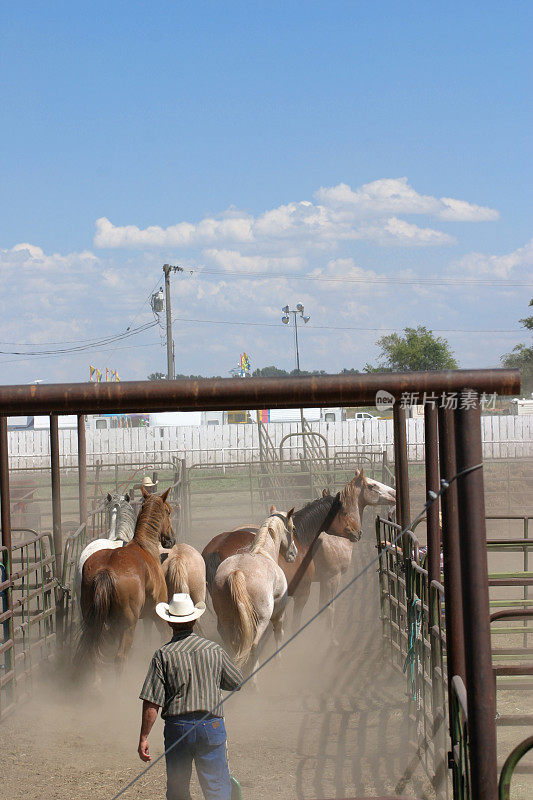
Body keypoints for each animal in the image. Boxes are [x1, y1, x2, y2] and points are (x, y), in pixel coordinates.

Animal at [75, 488, 176, 676]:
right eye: (168, 511)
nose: (171, 540)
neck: (144, 546)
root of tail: (106, 571)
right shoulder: (157, 615)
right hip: (127, 626)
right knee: (120, 658)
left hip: (93, 621)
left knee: (94, 655)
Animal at [203, 468, 366, 632]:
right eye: (344, 512)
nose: (358, 531)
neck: (300, 540)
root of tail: (217, 548)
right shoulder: (303, 593)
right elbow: (296, 623)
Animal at [211, 506, 296, 680]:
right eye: (293, 528)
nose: (294, 553)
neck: (263, 552)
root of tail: (236, 572)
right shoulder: (278, 614)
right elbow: (279, 634)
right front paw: (279, 664)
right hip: (260, 621)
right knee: (254, 646)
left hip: (227, 620)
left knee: (234, 644)